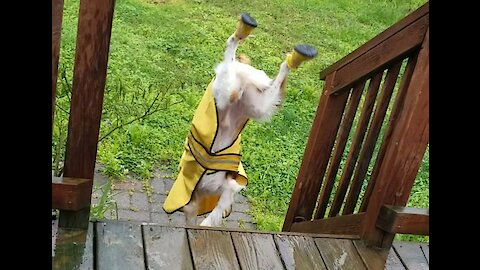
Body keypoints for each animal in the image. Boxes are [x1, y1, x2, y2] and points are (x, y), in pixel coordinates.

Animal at [163, 13, 316, 227]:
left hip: (228, 92)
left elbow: (214, 211)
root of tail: (243, 71)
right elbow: (214, 209)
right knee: (257, 78)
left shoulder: (219, 191)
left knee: (232, 61)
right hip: (252, 103)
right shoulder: (210, 195)